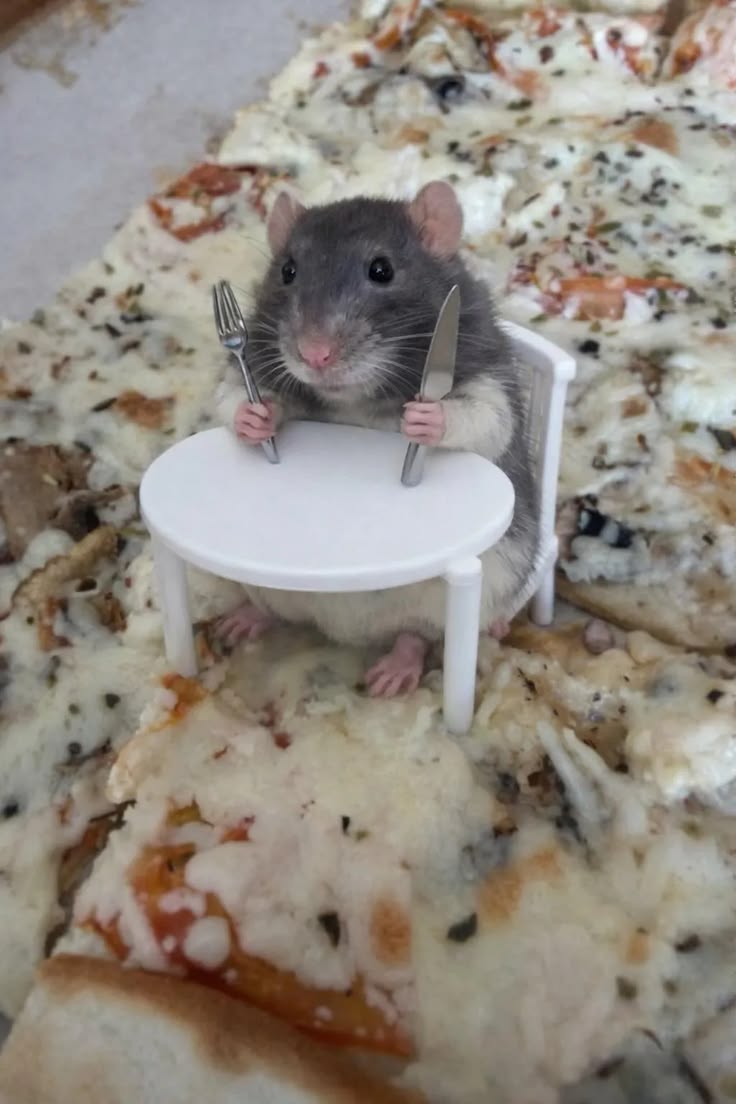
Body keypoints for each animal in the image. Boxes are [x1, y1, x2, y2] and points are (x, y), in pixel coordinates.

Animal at [214, 180, 539, 697]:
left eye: (381, 270)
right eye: (288, 271)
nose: (314, 354)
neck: (353, 400)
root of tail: (348, 631)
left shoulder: (483, 366)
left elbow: (489, 420)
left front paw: (428, 418)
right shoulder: (251, 361)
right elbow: (228, 397)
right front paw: (255, 417)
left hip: (468, 591)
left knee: (419, 634)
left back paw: (398, 667)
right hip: (268, 587)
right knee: (274, 609)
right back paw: (245, 619)